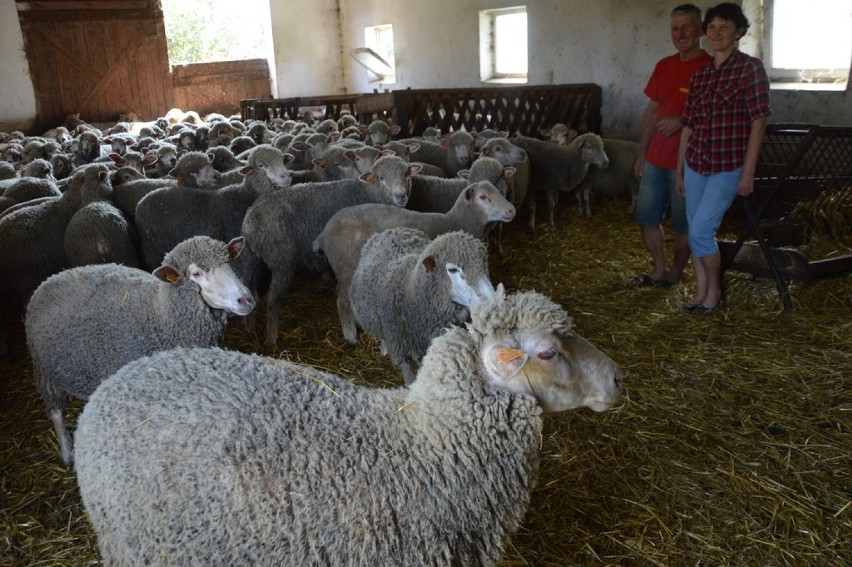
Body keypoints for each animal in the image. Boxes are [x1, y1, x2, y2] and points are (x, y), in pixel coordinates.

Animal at [27, 235, 253, 466]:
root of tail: (51, 279)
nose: (246, 299)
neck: (161, 314)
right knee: (55, 412)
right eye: (196, 273)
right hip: (44, 370)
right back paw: (66, 453)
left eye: (229, 262)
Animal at [135, 146, 292, 270]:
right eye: (260, 165)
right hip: (152, 249)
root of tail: (140, 203)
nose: (286, 176)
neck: (243, 196)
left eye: (282, 160)